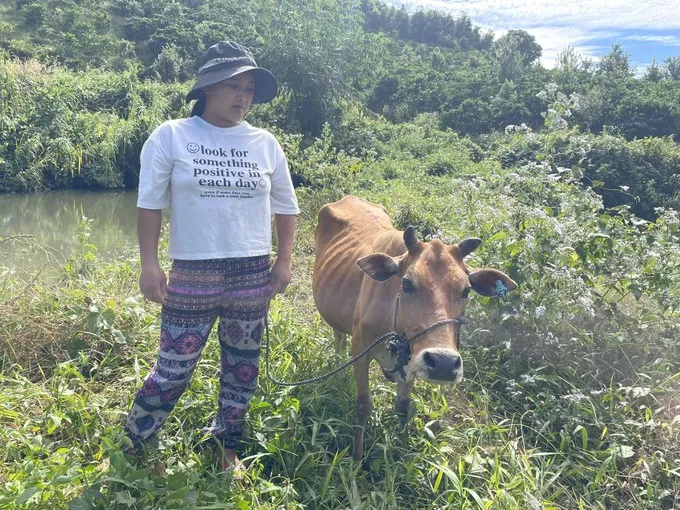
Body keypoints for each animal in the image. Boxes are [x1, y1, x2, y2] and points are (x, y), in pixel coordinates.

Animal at [312, 195, 517, 461]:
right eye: (407, 283)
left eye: (466, 290)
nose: (443, 363)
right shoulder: (361, 350)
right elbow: (364, 404)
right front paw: (358, 459)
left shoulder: (414, 359)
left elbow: (403, 405)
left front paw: (400, 446)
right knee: (338, 336)